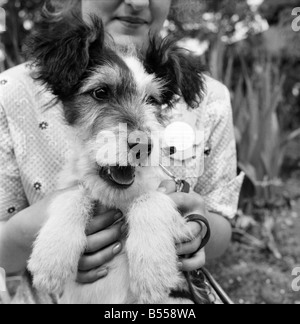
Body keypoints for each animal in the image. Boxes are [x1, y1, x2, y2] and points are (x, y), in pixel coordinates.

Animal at [26, 15, 206, 304]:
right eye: (100, 92)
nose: (143, 145)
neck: (115, 197)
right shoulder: (74, 184)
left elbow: (150, 198)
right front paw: (50, 260)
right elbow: (73, 194)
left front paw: (153, 271)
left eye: (152, 100)